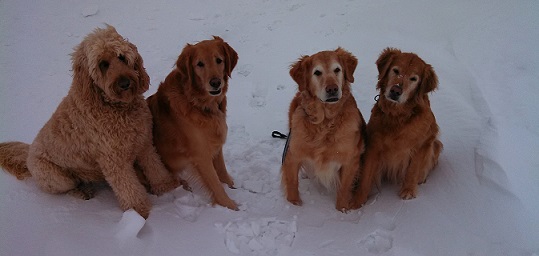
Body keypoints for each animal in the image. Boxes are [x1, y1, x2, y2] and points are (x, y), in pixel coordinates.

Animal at [0, 25, 178, 218]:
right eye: (103, 64)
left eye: (121, 57)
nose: (125, 83)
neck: (116, 107)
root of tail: (28, 155)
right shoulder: (114, 161)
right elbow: (128, 188)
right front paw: (138, 212)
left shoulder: (144, 144)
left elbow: (155, 167)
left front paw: (167, 187)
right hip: (55, 176)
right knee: (67, 187)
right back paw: (82, 192)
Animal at [148, 36, 240, 212]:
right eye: (200, 64)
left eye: (219, 60)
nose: (216, 83)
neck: (197, 102)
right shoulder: (201, 155)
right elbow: (216, 184)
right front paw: (231, 208)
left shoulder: (215, 144)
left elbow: (222, 172)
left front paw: (232, 186)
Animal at [282, 48, 368, 212]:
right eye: (317, 72)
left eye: (337, 70)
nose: (332, 89)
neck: (325, 122)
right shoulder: (292, 153)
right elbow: (292, 183)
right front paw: (294, 205)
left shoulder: (350, 159)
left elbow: (344, 188)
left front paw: (342, 210)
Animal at [354, 48, 442, 208]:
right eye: (395, 70)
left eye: (413, 78)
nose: (396, 90)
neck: (398, 115)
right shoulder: (374, 144)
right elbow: (366, 176)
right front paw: (357, 201)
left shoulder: (422, 143)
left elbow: (413, 170)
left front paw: (408, 191)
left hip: (436, 144)